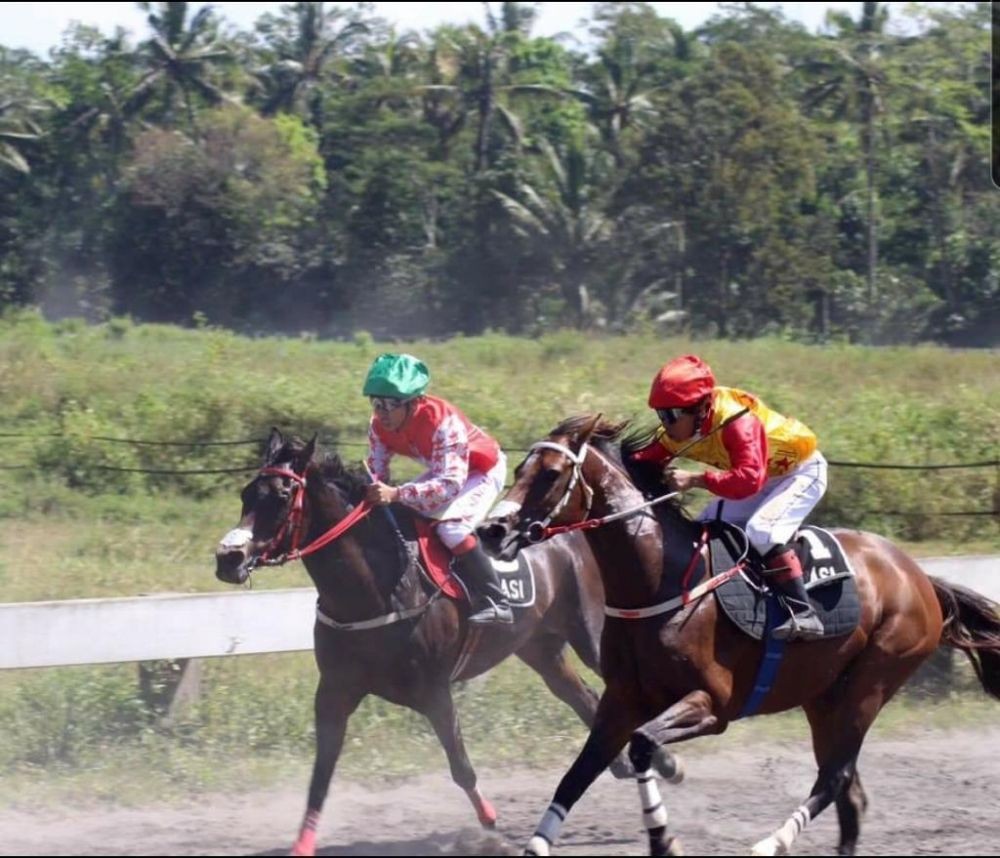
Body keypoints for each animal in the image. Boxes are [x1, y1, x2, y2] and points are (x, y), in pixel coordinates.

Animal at [211, 428, 680, 856]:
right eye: (246, 493)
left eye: (282, 495)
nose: (228, 558)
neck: (377, 589)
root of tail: (575, 524)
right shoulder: (334, 692)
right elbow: (321, 776)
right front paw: (302, 845)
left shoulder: (434, 691)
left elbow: (461, 767)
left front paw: (490, 831)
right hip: (540, 647)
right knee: (582, 695)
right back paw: (629, 763)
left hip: (591, 633)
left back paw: (663, 761)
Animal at [478, 412, 1000, 852]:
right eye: (521, 466)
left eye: (550, 474)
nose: (492, 530)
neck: (662, 581)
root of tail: (919, 577)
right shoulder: (620, 701)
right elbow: (579, 773)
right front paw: (537, 844)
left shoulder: (711, 704)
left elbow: (643, 744)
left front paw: (664, 840)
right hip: (823, 697)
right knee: (848, 793)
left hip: (872, 683)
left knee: (834, 778)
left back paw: (772, 842)